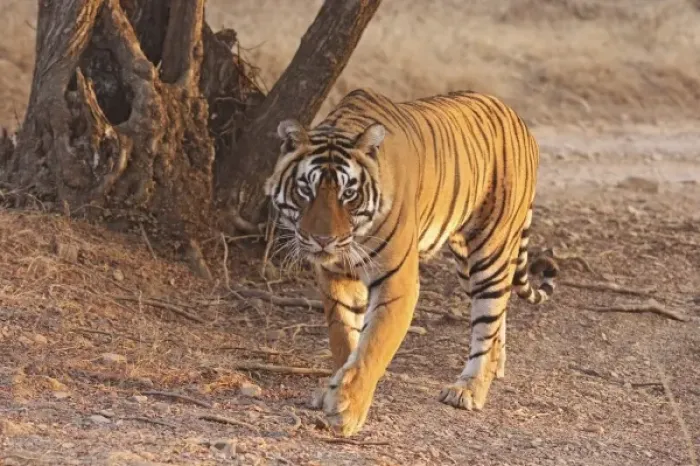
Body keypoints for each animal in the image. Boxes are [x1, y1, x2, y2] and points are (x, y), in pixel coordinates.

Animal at [264, 88, 558, 437]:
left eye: (348, 194)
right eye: (305, 190)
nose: (323, 240)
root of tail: (518, 119)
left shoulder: (397, 281)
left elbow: (373, 346)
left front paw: (347, 408)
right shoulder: (336, 276)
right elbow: (344, 337)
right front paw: (335, 386)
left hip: (491, 249)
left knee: (487, 318)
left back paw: (469, 387)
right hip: (466, 261)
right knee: (500, 306)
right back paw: (496, 365)